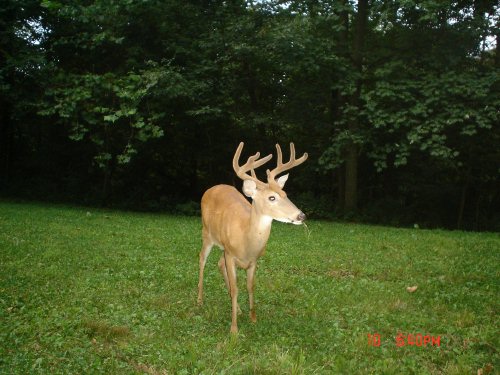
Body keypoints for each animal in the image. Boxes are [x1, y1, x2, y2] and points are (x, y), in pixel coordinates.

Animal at [196, 142, 306, 334]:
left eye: (285, 194)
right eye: (272, 197)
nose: (301, 216)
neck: (246, 240)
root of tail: (211, 188)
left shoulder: (253, 260)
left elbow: (250, 286)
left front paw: (253, 318)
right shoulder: (231, 255)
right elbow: (236, 288)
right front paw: (234, 329)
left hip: (222, 246)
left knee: (219, 263)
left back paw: (238, 309)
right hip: (207, 233)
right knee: (202, 259)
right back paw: (200, 300)